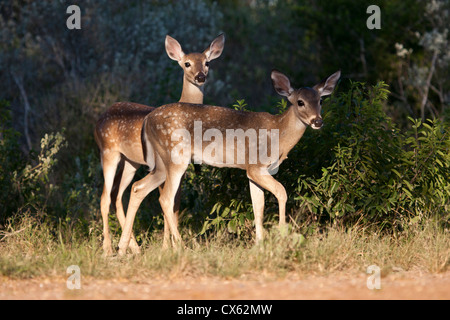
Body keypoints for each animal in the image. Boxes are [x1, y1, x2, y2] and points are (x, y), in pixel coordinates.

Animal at [94, 33, 225, 256]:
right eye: (187, 63)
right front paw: (169, 247)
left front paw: (168, 246)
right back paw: (109, 248)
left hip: (131, 161)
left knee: (118, 195)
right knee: (105, 197)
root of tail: (98, 121)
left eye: (207, 62)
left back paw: (133, 247)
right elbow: (165, 200)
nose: (200, 76)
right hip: (109, 152)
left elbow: (175, 204)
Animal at [116, 68, 342, 255]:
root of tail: (147, 120)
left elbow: (258, 206)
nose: (317, 121)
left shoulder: (252, 171)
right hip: (176, 156)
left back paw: (123, 248)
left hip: (162, 163)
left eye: (321, 101)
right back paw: (180, 247)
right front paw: (281, 236)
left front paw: (259, 245)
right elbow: (281, 192)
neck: (279, 134)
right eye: (300, 102)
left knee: (138, 188)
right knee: (165, 198)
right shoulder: (256, 166)